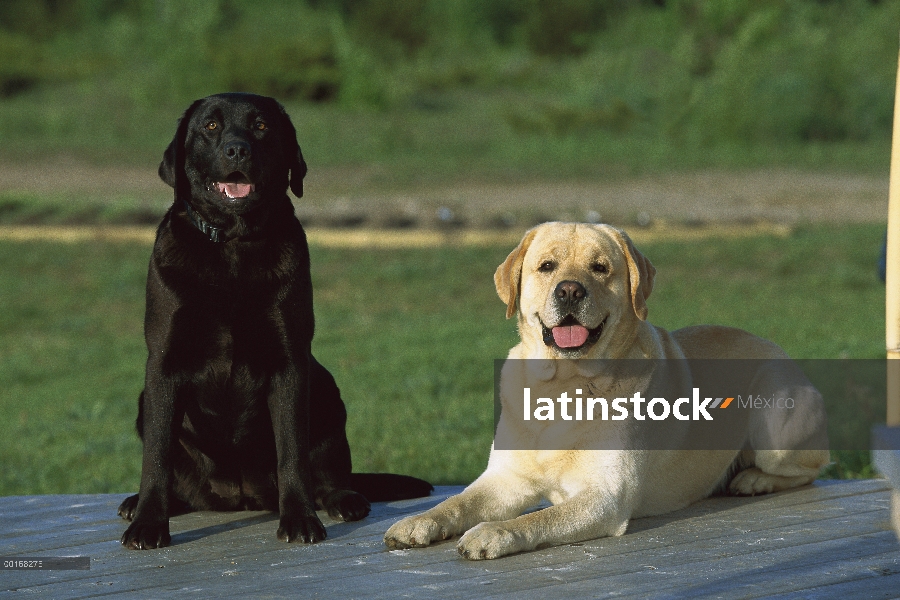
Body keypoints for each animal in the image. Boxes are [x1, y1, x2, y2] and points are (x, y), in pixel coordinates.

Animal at [118, 92, 432, 548]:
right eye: (210, 126)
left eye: (261, 126)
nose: (237, 149)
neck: (232, 244)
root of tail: (239, 496)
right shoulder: (163, 363)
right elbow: (156, 455)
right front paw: (148, 522)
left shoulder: (290, 362)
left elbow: (292, 452)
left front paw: (299, 518)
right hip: (146, 401)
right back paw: (140, 503)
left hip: (325, 389)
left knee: (331, 473)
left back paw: (344, 499)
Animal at [384, 223, 828, 560]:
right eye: (547, 266)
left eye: (600, 268)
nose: (569, 290)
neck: (563, 384)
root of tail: (774, 346)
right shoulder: (505, 478)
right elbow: (456, 502)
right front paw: (417, 522)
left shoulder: (605, 496)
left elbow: (537, 519)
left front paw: (491, 532)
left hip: (775, 424)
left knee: (812, 468)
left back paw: (755, 480)